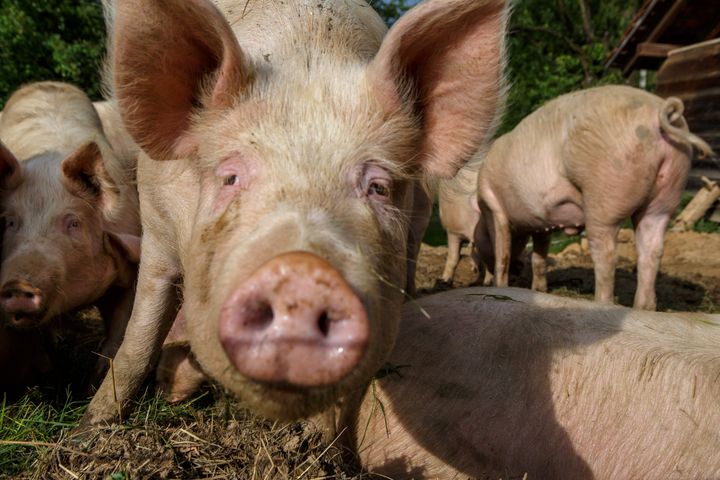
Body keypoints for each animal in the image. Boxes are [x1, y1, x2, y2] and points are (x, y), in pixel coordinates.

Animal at [0, 81, 141, 382]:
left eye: (72, 222)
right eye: (9, 221)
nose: (18, 285)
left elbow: (121, 328)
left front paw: (97, 378)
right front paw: (47, 372)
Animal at [84, 0, 510, 424]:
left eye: (378, 187)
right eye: (230, 177)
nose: (302, 277)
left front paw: (318, 441)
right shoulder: (156, 224)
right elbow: (141, 334)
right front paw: (94, 421)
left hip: (420, 219)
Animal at [472, 85, 716, 312]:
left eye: (478, 237)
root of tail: (658, 111)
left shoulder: (494, 205)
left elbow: (502, 254)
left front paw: (500, 287)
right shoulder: (543, 223)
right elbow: (539, 258)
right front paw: (538, 290)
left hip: (604, 191)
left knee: (607, 254)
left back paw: (602, 304)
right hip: (667, 194)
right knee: (651, 250)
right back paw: (643, 309)